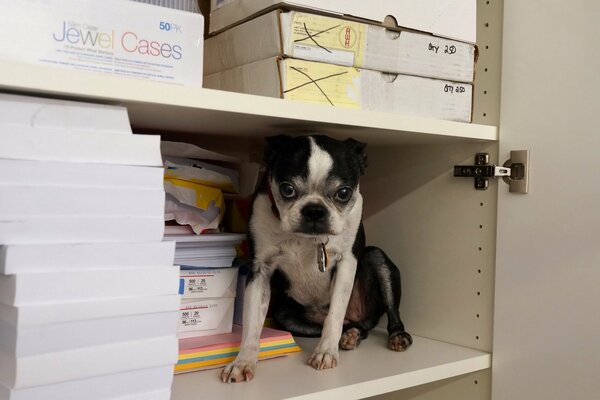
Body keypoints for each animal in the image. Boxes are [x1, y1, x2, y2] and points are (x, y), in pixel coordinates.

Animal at [220, 136, 412, 382]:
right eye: (287, 189)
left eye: (344, 193)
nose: (314, 210)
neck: (306, 239)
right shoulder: (260, 269)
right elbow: (252, 322)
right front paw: (243, 361)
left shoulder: (346, 262)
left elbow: (335, 314)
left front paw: (325, 352)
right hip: (285, 315)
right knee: (358, 326)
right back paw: (352, 334)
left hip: (376, 258)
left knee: (384, 311)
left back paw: (396, 335)